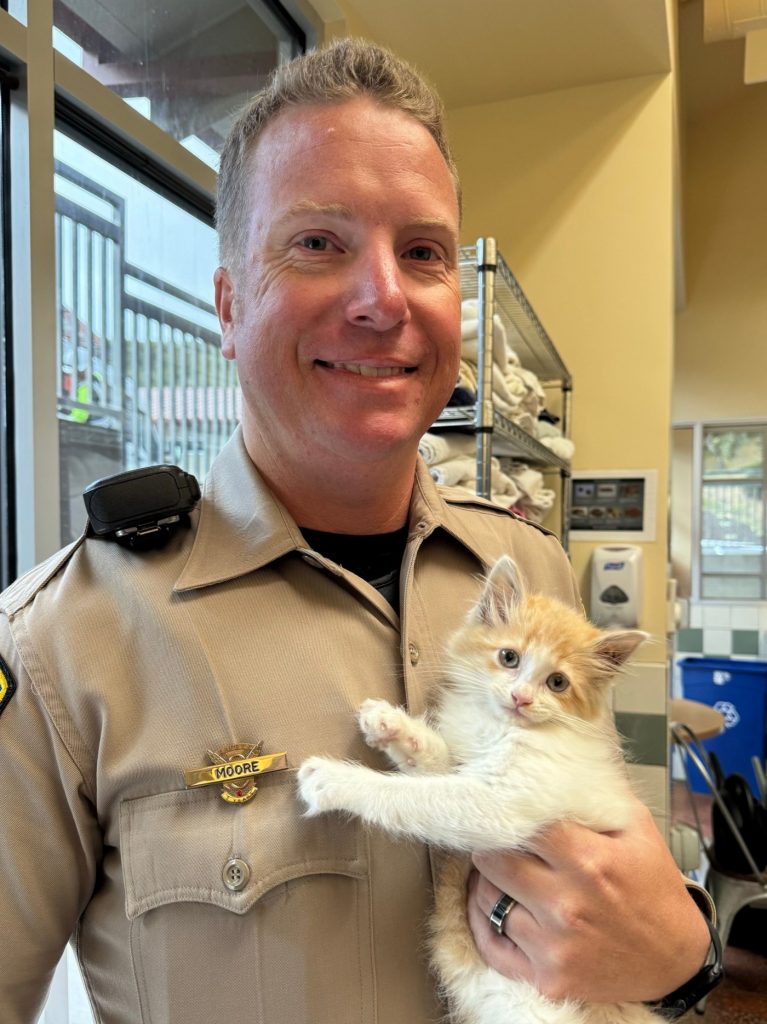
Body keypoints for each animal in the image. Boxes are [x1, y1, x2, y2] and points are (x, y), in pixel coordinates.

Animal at [296, 561, 655, 1024]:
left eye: (557, 682)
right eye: (509, 657)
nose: (521, 698)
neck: (502, 728)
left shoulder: (499, 803)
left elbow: (413, 797)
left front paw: (334, 780)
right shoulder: (470, 770)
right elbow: (436, 765)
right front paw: (391, 725)